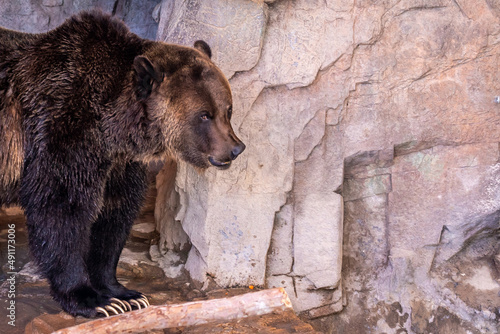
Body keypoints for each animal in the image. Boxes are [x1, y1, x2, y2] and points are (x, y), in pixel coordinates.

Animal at [0, 11, 244, 318]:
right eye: (204, 115)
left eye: (228, 109)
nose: (235, 149)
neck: (113, 127)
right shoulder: (63, 130)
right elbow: (62, 209)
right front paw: (90, 299)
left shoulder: (119, 163)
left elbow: (114, 215)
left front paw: (124, 294)